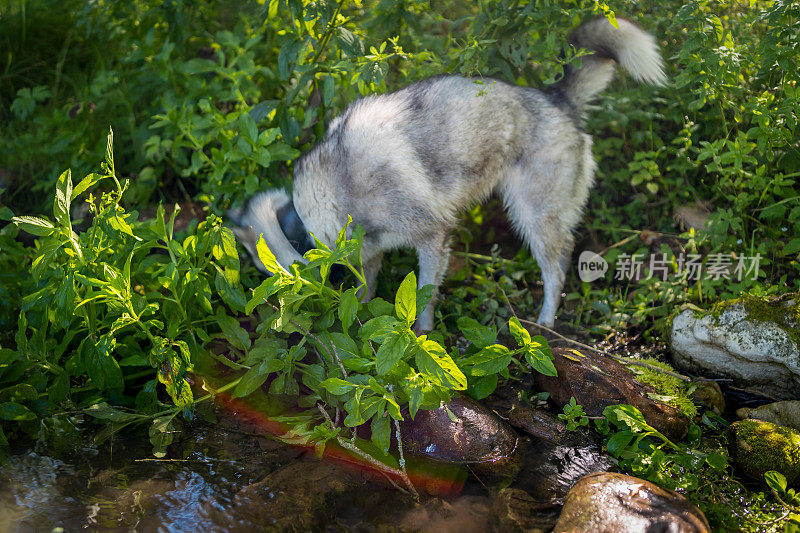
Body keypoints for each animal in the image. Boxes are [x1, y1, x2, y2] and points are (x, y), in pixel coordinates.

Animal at [228, 16, 664, 330]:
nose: (274, 321)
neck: (327, 197)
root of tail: (556, 98)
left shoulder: (433, 237)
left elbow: (423, 296)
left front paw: (421, 336)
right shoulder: (370, 252)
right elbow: (367, 288)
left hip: (533, 216)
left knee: (557, 267)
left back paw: (544, 322)